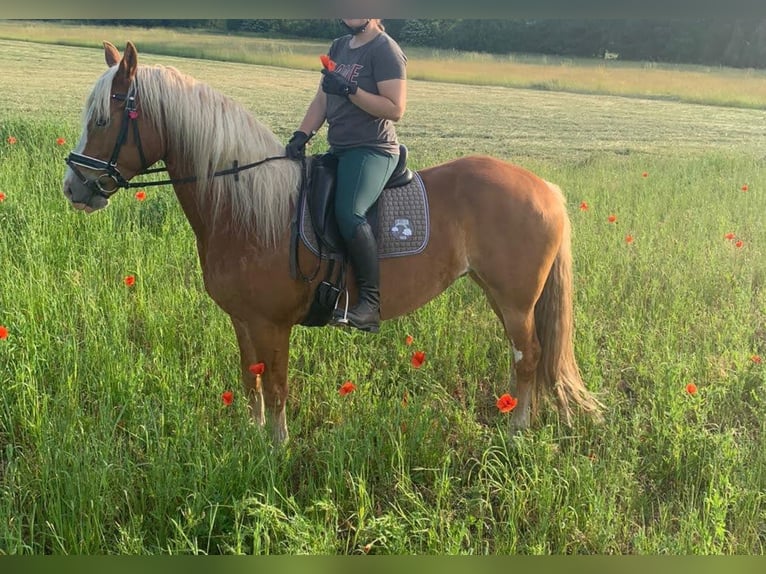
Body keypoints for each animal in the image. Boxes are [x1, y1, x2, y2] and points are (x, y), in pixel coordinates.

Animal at [62, 41, 602, 444]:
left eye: (103, 121)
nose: (73, 188)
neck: (247, 206)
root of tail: (545, 188)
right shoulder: (243, 320)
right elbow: (251, 381)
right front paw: (251, 440)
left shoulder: (273, 324)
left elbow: (276, 388)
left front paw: (275, 453)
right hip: (500, 294)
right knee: (523, 356)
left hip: (515, 300)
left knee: (528, 356)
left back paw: (516, 431)